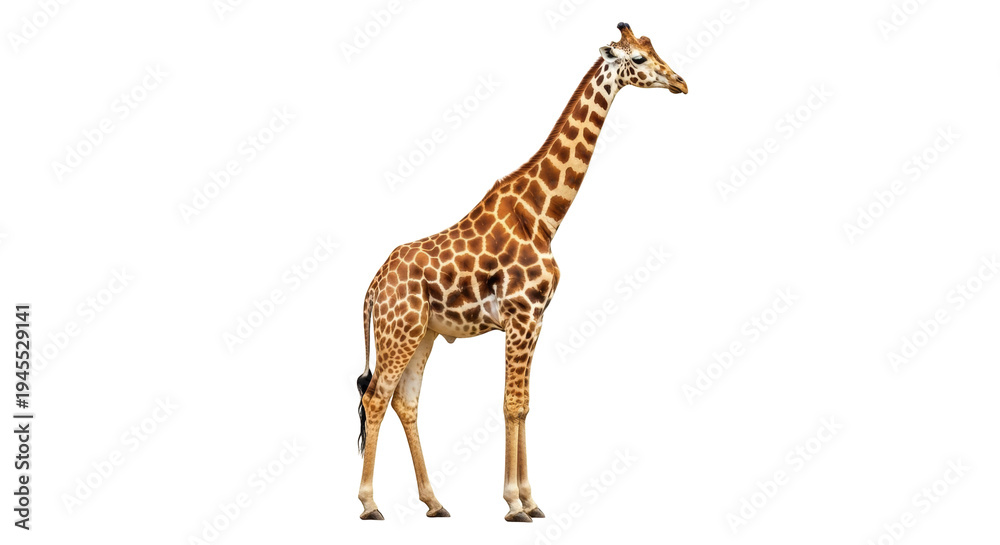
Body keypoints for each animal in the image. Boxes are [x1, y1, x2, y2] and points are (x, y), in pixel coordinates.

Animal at [356, 22, 687, 522]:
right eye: (639, 59)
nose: (681, 83)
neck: (543, 216)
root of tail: (373, 287)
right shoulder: (521, 315)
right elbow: (512, 404)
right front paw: (513, 503)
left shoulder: (536, 319)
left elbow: (525, 405)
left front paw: (531, 500)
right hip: (399, 330)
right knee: (375, 397)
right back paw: (370, 503)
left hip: (423, 332)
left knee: (405, 401)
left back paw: (434, 501)